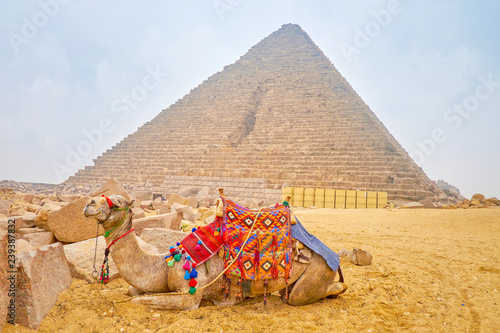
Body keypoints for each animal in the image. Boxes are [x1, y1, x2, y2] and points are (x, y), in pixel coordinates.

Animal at [83, 195, 348, 308]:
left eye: (117, 202)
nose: (89, 204)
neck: (165, 263)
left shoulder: (190, 294)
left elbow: (138, 300)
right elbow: (133, 291)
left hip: (316, 271)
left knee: (305, 295)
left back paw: (338, 289)